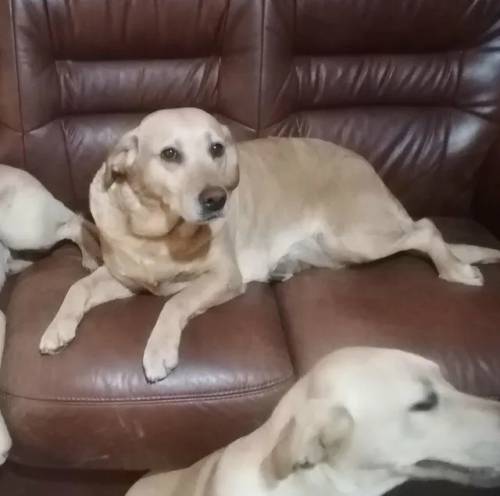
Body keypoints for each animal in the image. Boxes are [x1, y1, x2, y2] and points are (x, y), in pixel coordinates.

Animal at [38, 108, 500, 382]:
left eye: (216, 149)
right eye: (169, 154)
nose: (216, 199)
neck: (157, 232)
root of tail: (369, 168)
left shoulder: (223, 276)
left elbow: (175, 303)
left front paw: (158, 351)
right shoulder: (124, 278)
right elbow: (77, 286)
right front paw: (56, 328)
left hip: (357, 235)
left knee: (425, 229)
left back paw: (456, 269)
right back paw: (285, 266)